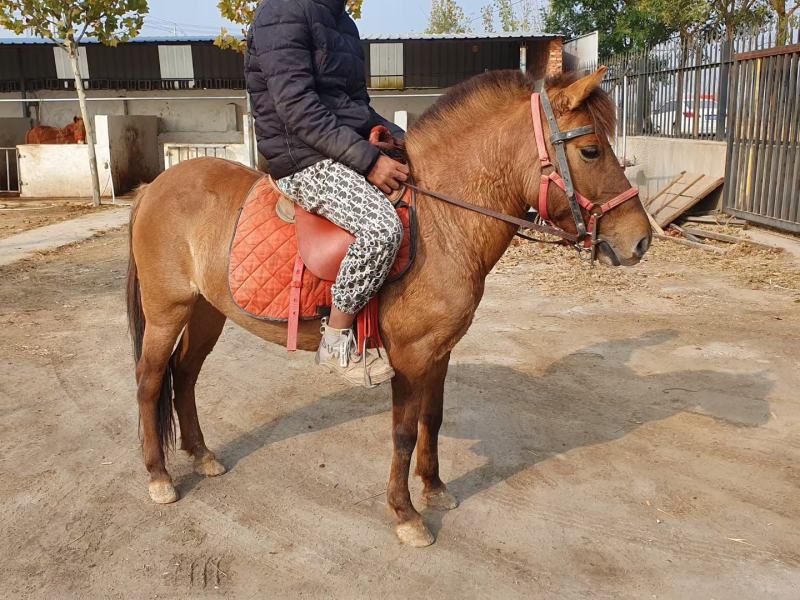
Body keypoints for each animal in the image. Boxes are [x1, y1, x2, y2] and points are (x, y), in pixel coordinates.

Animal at [126, 68, 652, 547]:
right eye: (591, 150)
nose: (641, 241)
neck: (442, 221)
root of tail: (155, 186)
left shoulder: (439, 352)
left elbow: (431, 420)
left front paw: (434, 488)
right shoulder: (411, 356)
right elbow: (403, 433)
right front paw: (406, 514)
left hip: (207, 311)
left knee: (184, 375)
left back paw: (201, 455)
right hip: (167, 311)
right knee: (151, 381)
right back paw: (158, 476)